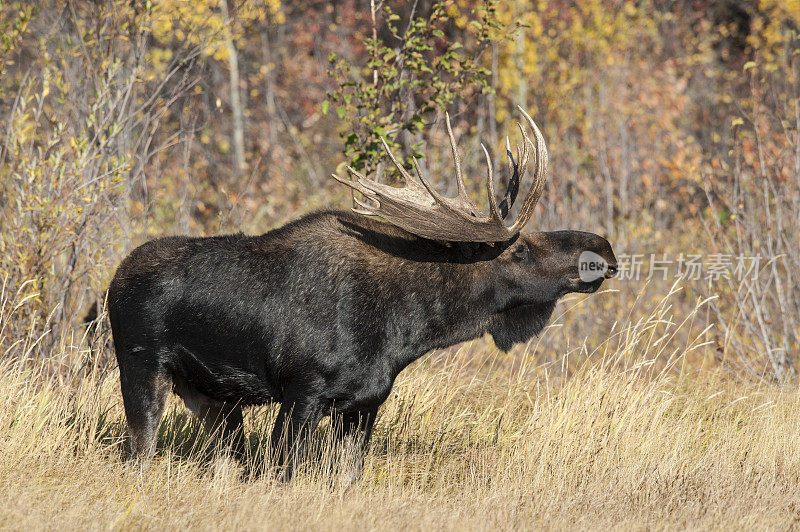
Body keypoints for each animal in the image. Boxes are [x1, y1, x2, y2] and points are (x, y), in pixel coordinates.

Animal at [106, 107, 620, 478]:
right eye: (519, 252)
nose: (603, 250)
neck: (407, 329)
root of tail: (114, 279)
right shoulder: (303, 391)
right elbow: (283, 471)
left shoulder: (365, 403)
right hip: (141, 368)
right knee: (139, 455)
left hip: (214, 398)